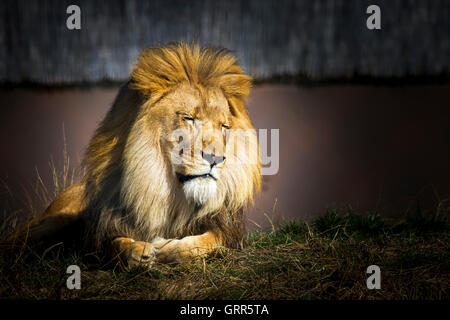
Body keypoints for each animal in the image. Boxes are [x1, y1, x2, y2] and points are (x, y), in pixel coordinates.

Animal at [7, 42, 262, 268]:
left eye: (224, 127)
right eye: (189, 118)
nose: (216, 159)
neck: (169, 196)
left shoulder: (230, 233)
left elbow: (206, 242)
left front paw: (167, 247)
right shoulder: (99, 235)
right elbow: (115, 245)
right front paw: (138, 251)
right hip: (54, 220)